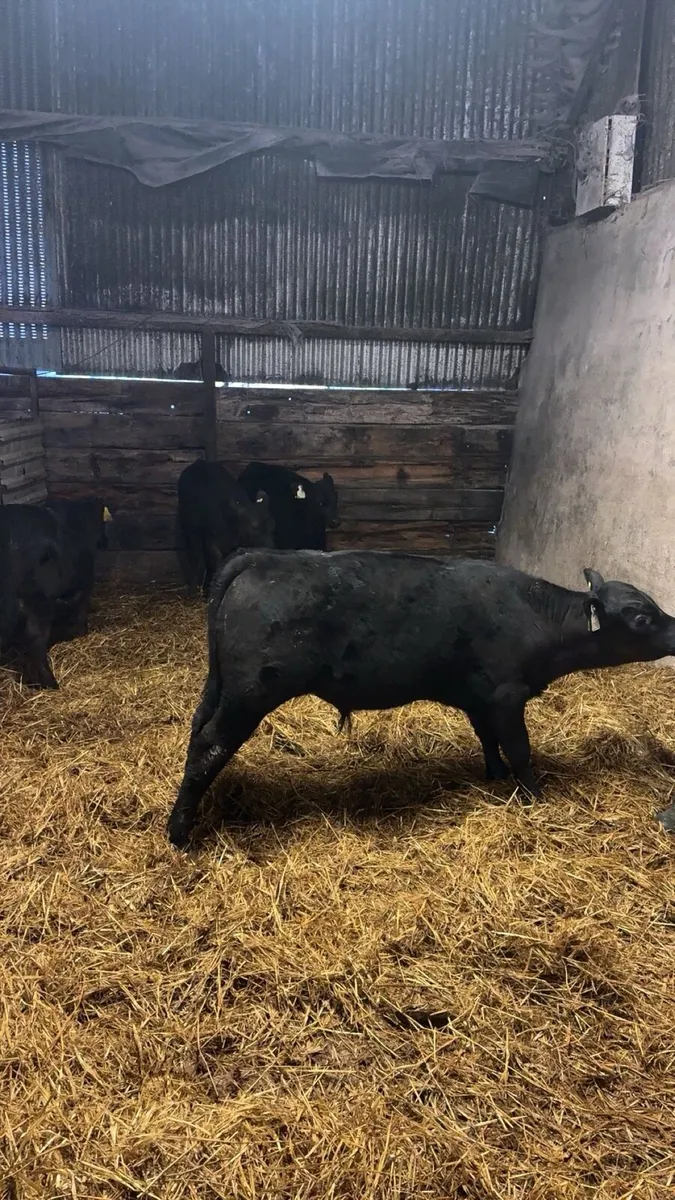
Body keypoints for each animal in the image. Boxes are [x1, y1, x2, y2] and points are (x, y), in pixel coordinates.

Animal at [0, 498, 110, 688]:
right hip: (39, 596)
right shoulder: (85, 580)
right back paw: (49, 682)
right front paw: (80, 631)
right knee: (35, 635)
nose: (105, 541)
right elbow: (82, 604)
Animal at [167, 552, 675, 848]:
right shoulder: (507, 695)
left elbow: (488, 740)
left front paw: (495, 776)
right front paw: (533, 796)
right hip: (251, 693)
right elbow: (520, 749)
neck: (535, 618)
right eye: (640, 617)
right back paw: (179, 834)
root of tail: (259, 560)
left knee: (197, 731)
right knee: (209, 745)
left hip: (222, 688)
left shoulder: (481, 698)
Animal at [177, 459, 275, 595]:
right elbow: (216, 561)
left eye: (272, 525)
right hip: (189, 527)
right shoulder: (212, 540)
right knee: (194, 554)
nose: (271, 547)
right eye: (253, 526)